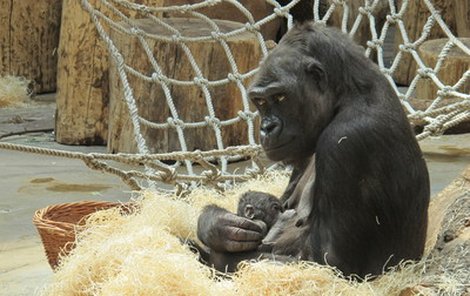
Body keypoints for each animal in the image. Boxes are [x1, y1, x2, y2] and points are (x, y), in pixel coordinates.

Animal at [196, 22, 430, 278]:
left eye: (281, 96)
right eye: (261, 101)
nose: (267, 127)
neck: (347, 95)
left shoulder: (345, 140)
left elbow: (330, 263)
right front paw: (216, 225)